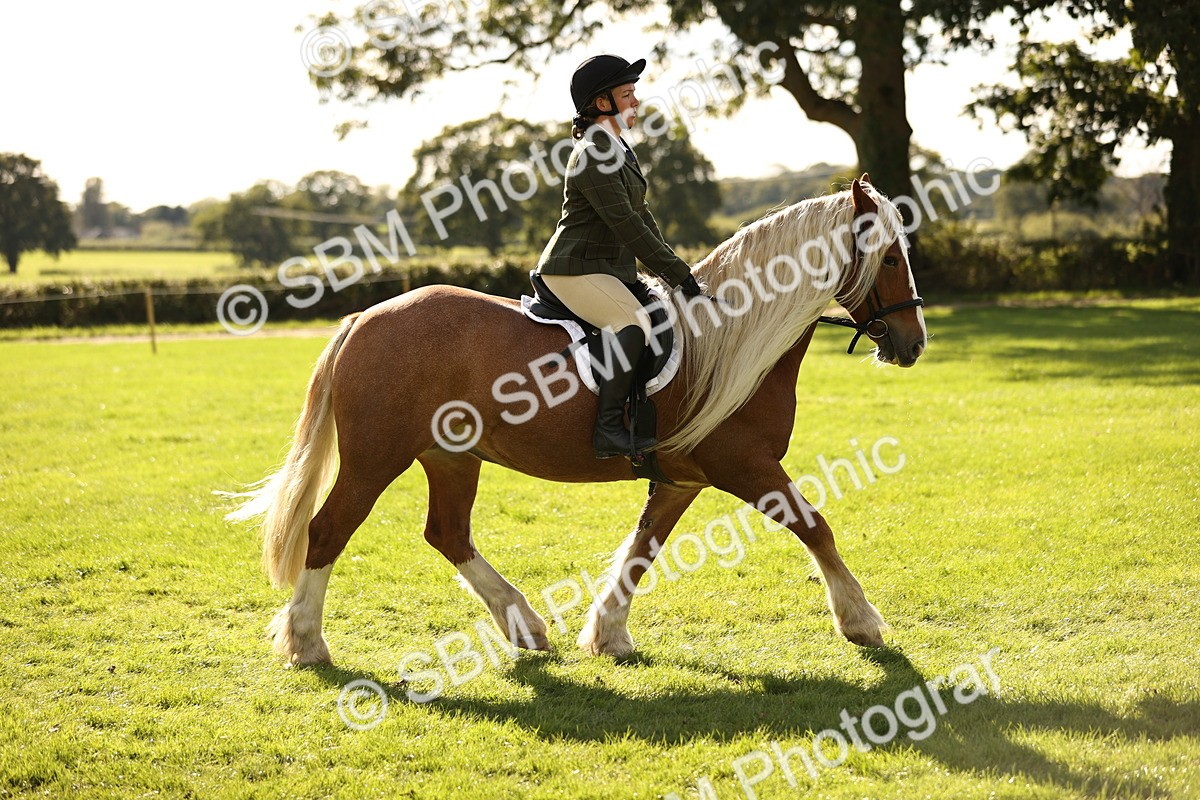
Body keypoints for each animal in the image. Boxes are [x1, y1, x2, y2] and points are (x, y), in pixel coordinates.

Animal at [227, 176, 927, 666]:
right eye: (890, 258)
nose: (913, 343)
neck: (730, 338)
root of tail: (365, 317)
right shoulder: (744, 465)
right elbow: (816, 528)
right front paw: (861, 622)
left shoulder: (682, 478)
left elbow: (643, 550)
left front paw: (608, 634)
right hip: (377, 458)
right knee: (327, 531)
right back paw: (307, 645)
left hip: (450, 456)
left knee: (448, 534)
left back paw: (525, 626)